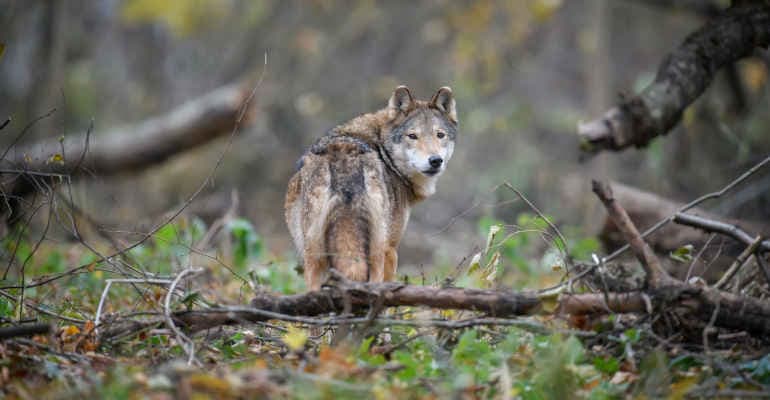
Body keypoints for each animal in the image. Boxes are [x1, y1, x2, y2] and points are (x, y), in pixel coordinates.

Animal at [285, 85, 458, 290]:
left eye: (440, 135)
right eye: (412, 136)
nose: (435, 161)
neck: (384, 152)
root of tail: (344, 166)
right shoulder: (391, 249)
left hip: (315, 258)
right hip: (376, 255)